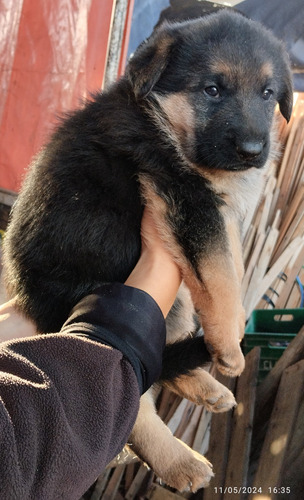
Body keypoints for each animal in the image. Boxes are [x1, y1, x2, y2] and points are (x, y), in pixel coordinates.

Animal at [2, 9, 292, 490]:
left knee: (156, 357)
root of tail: (29, 297)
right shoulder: (183, 198)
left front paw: (228, 333)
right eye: (212, 90)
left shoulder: (214, 209)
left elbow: (229, 261)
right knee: (130, 395)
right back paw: (178, 459)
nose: (253, 152)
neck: (160, 117)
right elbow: (219, 272)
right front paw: (230, 344)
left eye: (268, 94)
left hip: (169, 304)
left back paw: (204, 386)